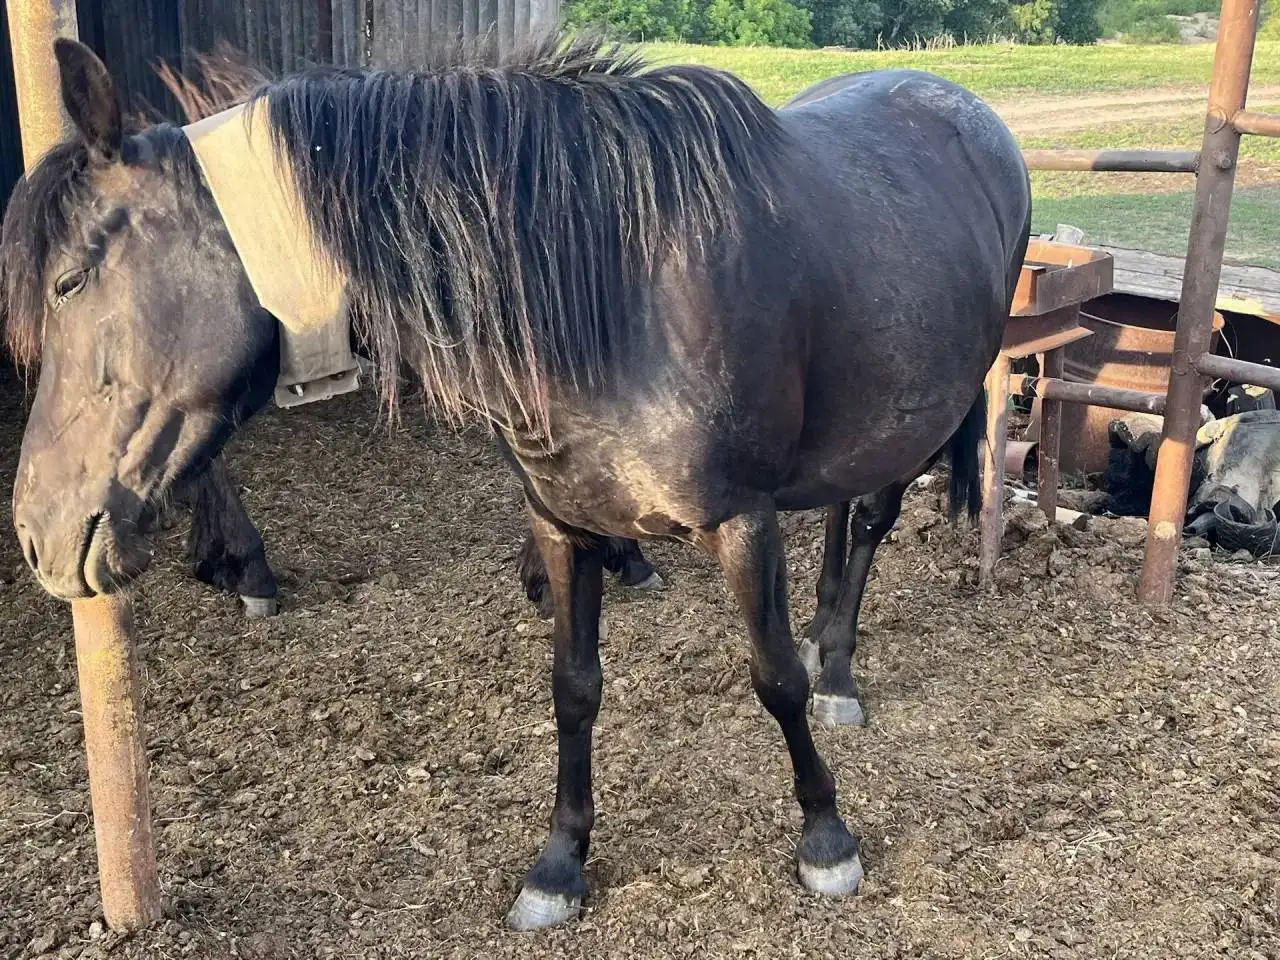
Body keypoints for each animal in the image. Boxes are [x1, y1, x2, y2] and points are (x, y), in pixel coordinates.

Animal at [7, 34, 1030, 929]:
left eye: (70, 281)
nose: (37, 534)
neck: (618, 288)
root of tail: (972, 113)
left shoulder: (743, 521)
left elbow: (770, 676)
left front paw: (825, 836)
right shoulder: (561, 523)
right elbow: (573, 688)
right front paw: (559, 865)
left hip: (920, 421)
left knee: (869, 525)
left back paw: (839, 670)